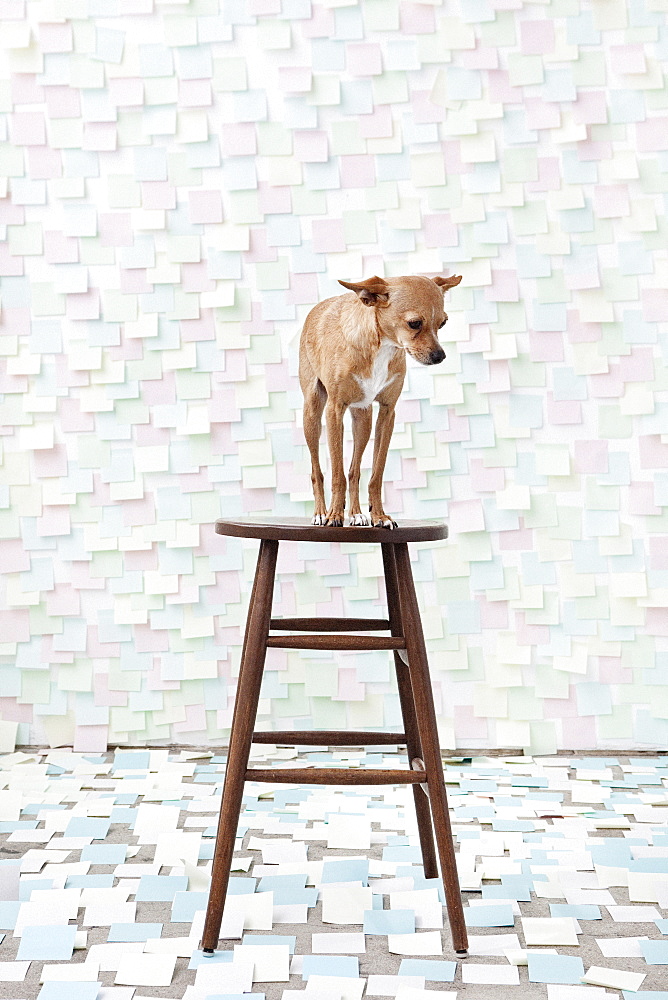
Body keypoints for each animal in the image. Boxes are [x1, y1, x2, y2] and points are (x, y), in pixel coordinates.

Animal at [298, 270, 462, 528]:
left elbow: (375, 473)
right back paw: (321, 513)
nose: (439, 356)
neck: (380, 347)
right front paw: (335, 515)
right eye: (414, 323)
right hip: (312, 414)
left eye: (442, 323)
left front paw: (379, 516)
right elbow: (337, 474)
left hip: (363, 420)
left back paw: (356, 513)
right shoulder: (334, 411)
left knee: (354, 470)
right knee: (318, 471)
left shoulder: (387, 412)